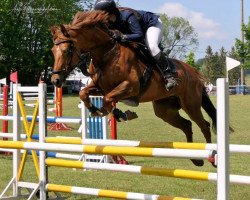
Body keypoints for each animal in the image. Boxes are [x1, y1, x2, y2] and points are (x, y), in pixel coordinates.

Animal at [50, 10, 217, 167]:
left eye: (66, 51)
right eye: (52, 51)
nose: (55, 80)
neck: (107, 54)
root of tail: (194, 73)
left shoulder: (130, 87)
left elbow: (108, 99)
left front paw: (119, 114)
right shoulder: (100, 87)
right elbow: (84, 93)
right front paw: (97, 110)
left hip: (190, 104)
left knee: (204, 125)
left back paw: (211, 158)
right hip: (165, 110)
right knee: (187, 125)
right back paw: (196, 159)